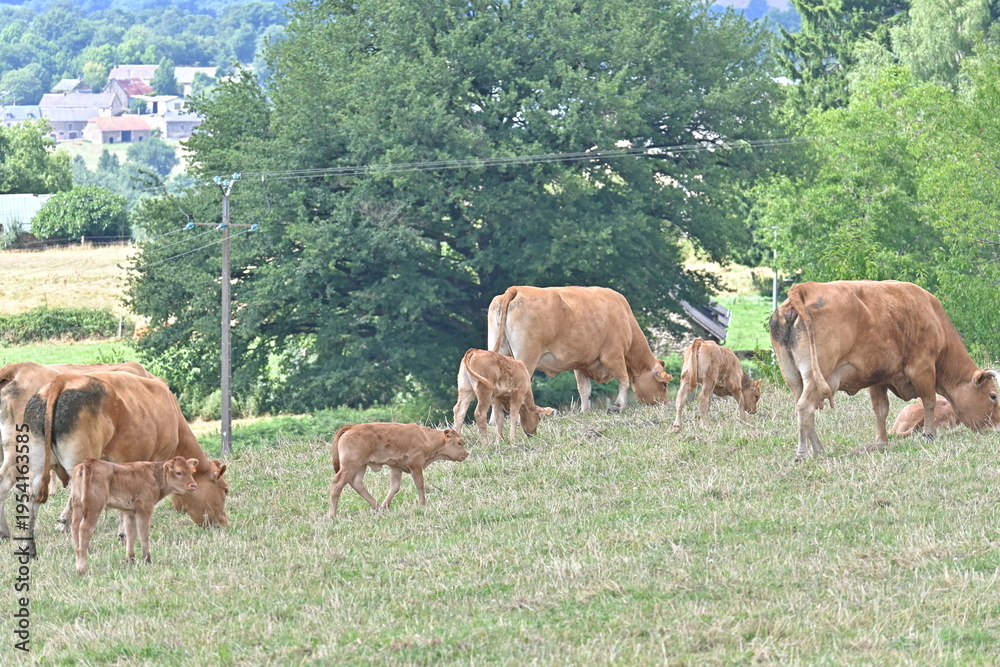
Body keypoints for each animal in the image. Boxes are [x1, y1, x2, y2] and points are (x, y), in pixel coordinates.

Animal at [21, 371, 229, 556]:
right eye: (225, 490)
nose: (224, 523)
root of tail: (62, 380)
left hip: (37, 466)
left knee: (32, 501)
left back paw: (29, 548)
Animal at [69, 456, 199, 575]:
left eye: (190, 471)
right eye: (178, 472)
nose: (193, 485)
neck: (154, 475)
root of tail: (89, 462)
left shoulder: (129, 512)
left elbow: (131, 533)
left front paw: (131, 560)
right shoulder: (145, 509)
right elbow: (143, 534)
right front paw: (147, 560)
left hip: (78, 504)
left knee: (74, 527)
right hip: (94, 506)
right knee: (85, 528)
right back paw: (82, 568)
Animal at [329, 422, 469, 518]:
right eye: (459, 442)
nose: (466, 454)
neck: (426, 438)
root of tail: (351, 427)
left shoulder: (396, 467)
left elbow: (395, 487)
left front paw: (384, 507)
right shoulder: (416, 466)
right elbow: (420, 484)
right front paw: (423, 505)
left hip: (361, 465)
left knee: (356, 482)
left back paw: (376, 506)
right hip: (351, 465)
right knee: (338, 482)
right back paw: (332, 515)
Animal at [488, 286, 672, 413]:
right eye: (663, 385)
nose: (665, 404)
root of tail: (516, 289)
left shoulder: (581, 362)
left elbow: (584, 389)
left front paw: (585, 411)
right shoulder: (613, 356)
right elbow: (624, 381)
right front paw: (619, 406)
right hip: (526, 358)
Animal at [769, 280, 1000, 461]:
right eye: (993, 396)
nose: (996, 427)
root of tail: (804, 289)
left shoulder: (878, 378)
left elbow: (881, 410)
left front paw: (881, 442)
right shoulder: (923, 368)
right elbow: (929, 401)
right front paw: (929, 434)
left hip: (794, 378)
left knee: (804, 409)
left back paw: (819, 450)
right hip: (818, 375)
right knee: (805, 407)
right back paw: (804, 454)